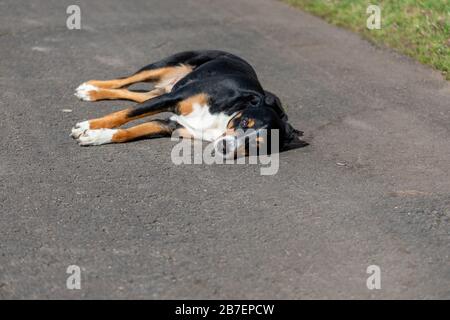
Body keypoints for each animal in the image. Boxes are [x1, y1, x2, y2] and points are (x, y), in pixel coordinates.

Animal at [71, 49, 302, 158]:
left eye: (257, 145)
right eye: (245, 123)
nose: (225, 147)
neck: (225, 118)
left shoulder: (171, 124)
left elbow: (128, 131)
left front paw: (96, 136)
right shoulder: (174, 98)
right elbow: (124, 114)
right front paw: (87, 127)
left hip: (167, 87)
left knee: (135, 94)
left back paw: (92, 92)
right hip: (164, 66)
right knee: (125, 80)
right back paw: (90, 89)